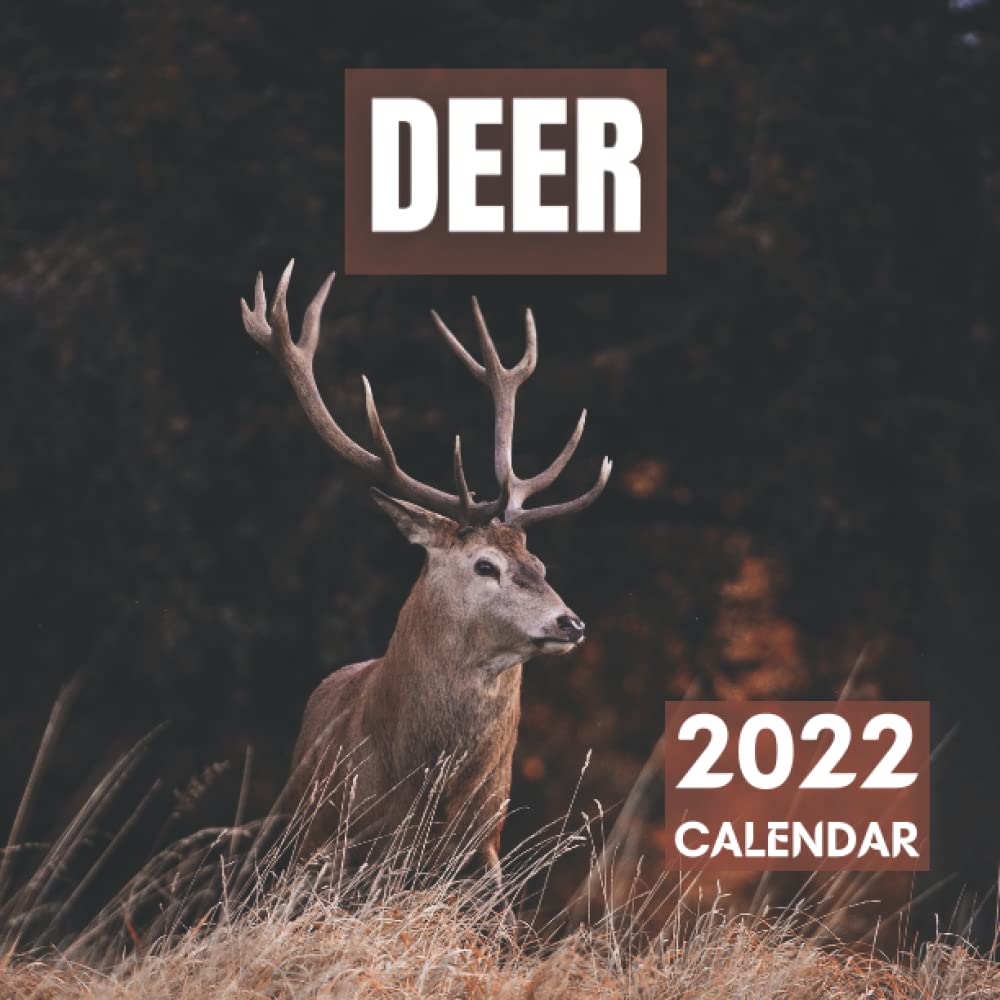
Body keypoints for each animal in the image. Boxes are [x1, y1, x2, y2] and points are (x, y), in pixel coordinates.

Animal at [240, 261, 611, 900]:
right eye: (484, 564)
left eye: (539, 563)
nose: (570, 622)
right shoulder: (339, 844)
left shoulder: (483, 850)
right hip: (295, 827)